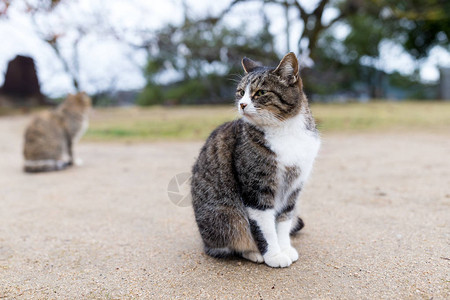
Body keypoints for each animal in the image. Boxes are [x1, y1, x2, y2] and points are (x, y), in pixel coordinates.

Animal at [190, 52, 320, 268]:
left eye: (260, 93)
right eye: (241, 92)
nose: (242, 104)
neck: (285, 131)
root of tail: (203, 239)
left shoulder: (293, 189)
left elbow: (283, 221)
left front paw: (285, 248)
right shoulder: (257, 189)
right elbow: (265, 227)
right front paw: (274, 255)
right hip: (227, 217)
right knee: (230, 241)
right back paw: (253, 252)